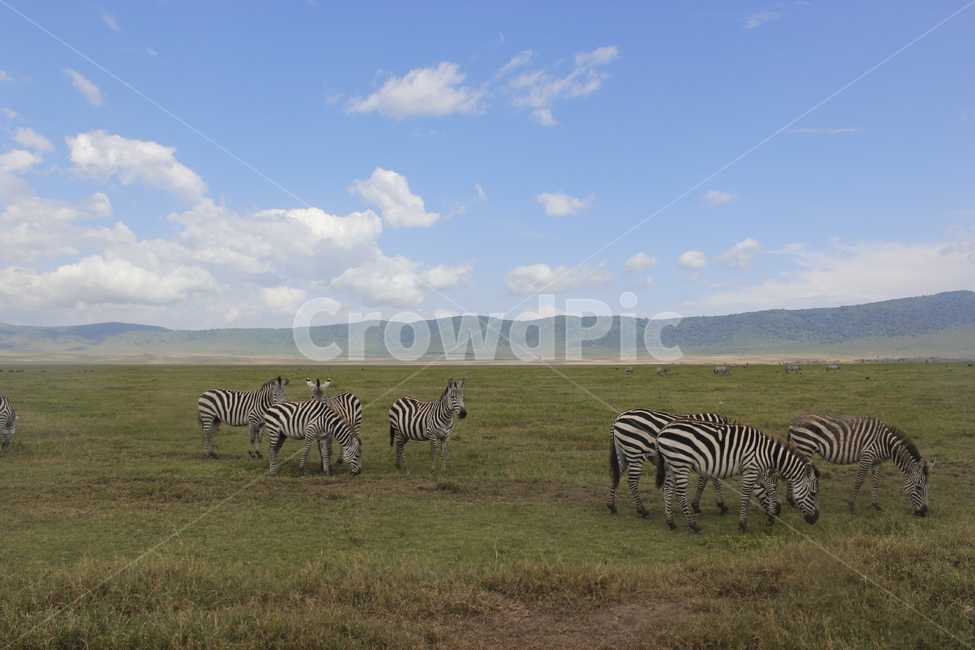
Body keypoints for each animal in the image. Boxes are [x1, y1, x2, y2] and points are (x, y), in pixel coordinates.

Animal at [608, 409, 738, 518]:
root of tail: (619, 417)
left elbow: (710, 481)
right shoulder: (708, 459)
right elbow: (709, 482)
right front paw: (719, 506)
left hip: (623, 453)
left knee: (614, 475)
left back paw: (612, 507)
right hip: (636, 452)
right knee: (632, 481)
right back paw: (643, 511)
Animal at [655, 419, 820, 533]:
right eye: (813, 494)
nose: (815, 519)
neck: (767, 453)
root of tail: (662, 431)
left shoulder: (760, 472)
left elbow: (771, 491)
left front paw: (770, 520)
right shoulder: (750, 471)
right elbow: (746, 497)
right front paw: (743, 525)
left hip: (673, 465)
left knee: (667, 490)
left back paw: (671, 523)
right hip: (681, 464)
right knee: (680, 494)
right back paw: (694, 526)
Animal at [787, 413, 932, 516]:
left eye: (928, 488)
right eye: (918, 488)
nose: (924, 512)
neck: (886, 443)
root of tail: (793, 421)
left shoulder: (877, 461)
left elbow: (875, 482)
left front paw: (876, 506)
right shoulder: (867, 456)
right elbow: (859, 481)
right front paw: (851, 506)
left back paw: (791, 501)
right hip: (806, 446)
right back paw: (791, 501)